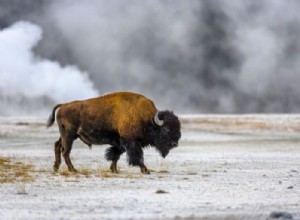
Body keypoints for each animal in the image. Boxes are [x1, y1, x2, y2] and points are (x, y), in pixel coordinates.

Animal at [47, 91, 180, 174]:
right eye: (166, 129)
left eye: (178, 127)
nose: (175, 144)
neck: (147, 119)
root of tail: (64, 105)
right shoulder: (131, 142)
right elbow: (136, 157)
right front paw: (145, 170)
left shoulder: (121, 142)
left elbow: (115, 155)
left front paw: (114, 170)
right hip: (68, 135)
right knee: (65, 151)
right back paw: (72, 170)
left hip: (68, 136)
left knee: (57, 146)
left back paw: (56, 168)